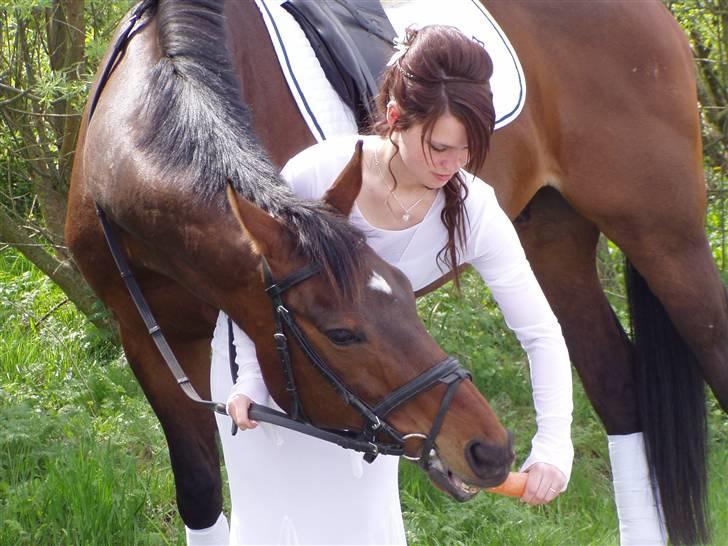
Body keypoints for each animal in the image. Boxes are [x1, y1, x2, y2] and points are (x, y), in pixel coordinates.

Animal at [65, 0, 724, 540]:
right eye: (341, 333)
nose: (489, 449)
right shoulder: (147, 337)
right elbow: (201, 493)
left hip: (667, 241)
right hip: (552, 243)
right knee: (618, 389)